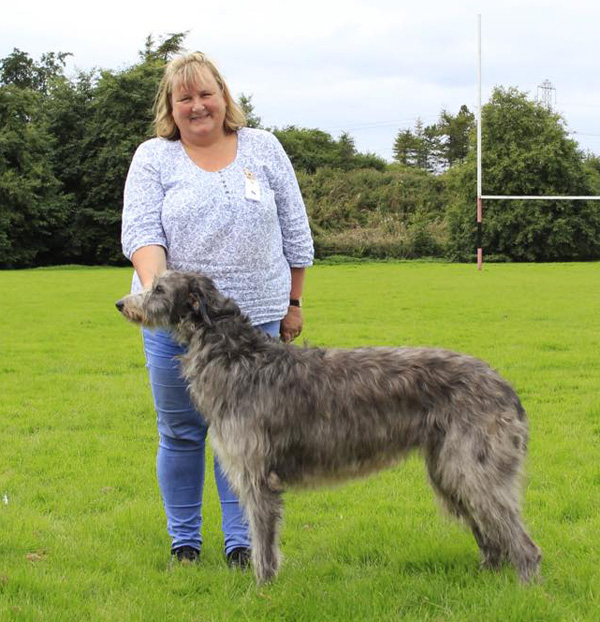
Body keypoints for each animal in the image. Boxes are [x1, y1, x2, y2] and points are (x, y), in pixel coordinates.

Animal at [115, 272, 540, 584]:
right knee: (491, 534)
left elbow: (263, 542)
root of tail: (505, 387)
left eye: (159, 289)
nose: (121, 304)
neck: (236, 356)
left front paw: (261, 590)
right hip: (449, 469)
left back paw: (527, 587)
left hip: (473, 466)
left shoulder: (257, 472)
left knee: (520, 540)